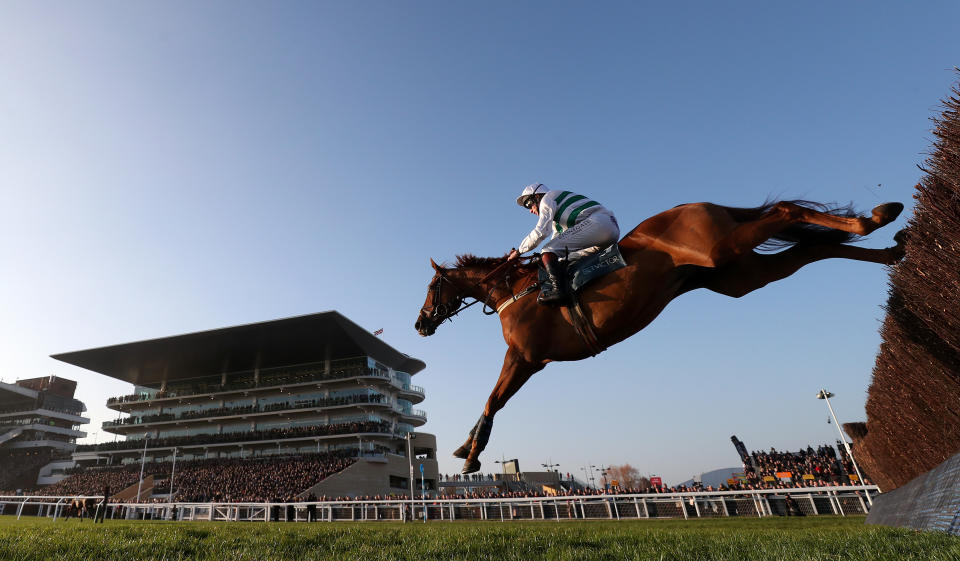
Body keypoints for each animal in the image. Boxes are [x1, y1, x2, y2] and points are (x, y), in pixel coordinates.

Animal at [414, 199, 908, 470]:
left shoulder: (526, 357)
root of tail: (699, 206)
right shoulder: (530, 361)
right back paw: (888, 243)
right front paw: (465, 446)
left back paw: (877, 219)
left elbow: (492, 400)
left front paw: (471, 454)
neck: (513, 290)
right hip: (738, 274)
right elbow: (490, 402)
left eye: (432, 286)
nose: (419, 324)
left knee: (787, 212)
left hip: (722, 249)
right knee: (812, 248)